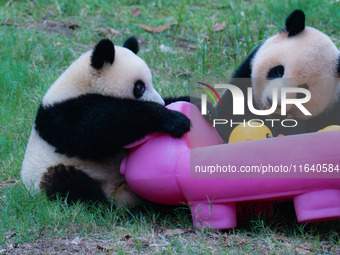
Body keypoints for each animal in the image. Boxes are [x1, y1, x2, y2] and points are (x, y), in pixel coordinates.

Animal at [21, 36, 191, 207]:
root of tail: (118, 192)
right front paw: (174, 120)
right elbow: (99, 130)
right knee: (66, 182)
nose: (161, 103)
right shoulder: (65, 114)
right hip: (49, 174)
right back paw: (106, 205)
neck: (82, 84)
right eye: (140, 87)